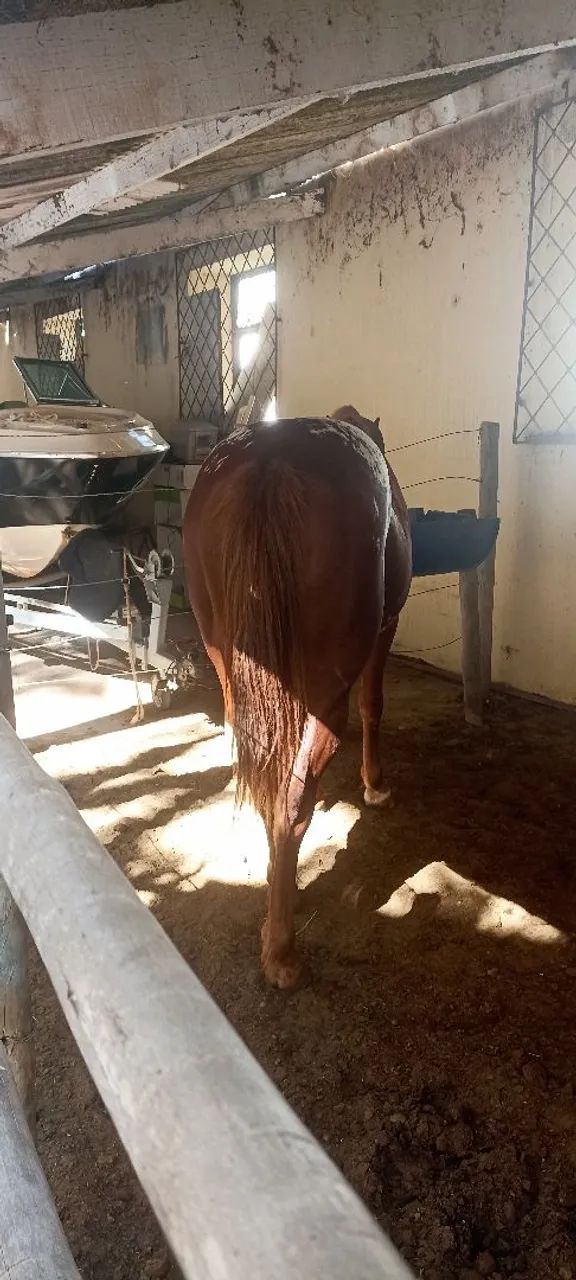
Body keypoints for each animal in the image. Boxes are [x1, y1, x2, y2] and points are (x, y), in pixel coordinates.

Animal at [183, 406, 412, 987]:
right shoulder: (386, 630)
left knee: (245, 743)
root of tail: (272, 463)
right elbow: (374, 706)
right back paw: (281, 947)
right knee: (291, 802)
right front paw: (376, 786)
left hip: (221, 647)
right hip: (326, 694)